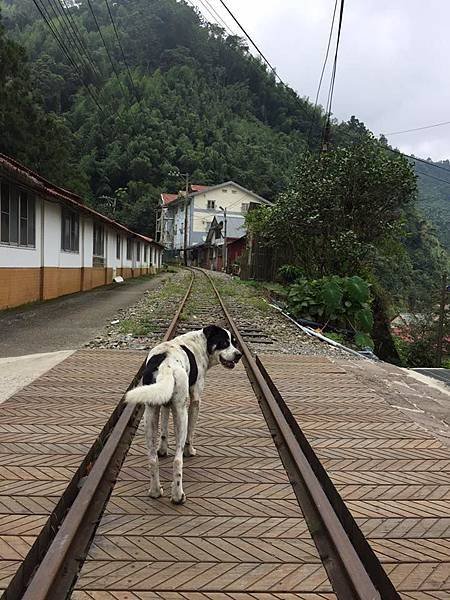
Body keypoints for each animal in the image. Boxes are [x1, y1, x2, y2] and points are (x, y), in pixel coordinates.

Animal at [125, 326, 241, 504]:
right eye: (224, 343)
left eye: (234, 342)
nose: (239, 355)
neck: (200, 344)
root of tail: (165, 366)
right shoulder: (195, 400)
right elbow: (191, 433)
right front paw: (190, 450)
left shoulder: (164, 403)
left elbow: (164, 429)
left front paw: (162, 449)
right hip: (181, 412)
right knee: (177, 460)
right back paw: (178, 495)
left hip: (150, 413)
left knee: (152, 458)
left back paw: (155, 491)